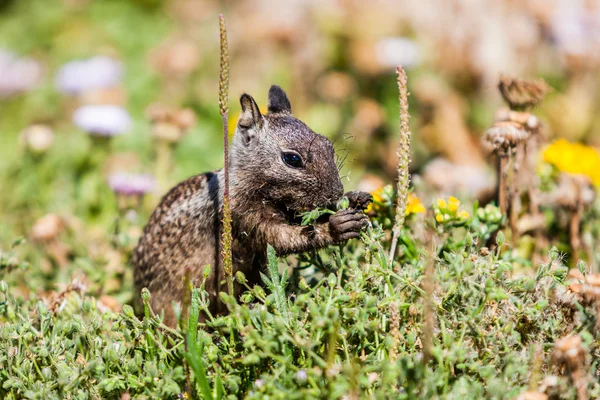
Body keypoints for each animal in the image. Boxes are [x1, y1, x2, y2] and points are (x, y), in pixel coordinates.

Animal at [132, 86, 370, 326]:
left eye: (328, 145)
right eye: (292, 159)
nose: (336, 192)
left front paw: (355, 198)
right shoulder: (246, 218)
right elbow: (286, 238)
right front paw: (337, 226)